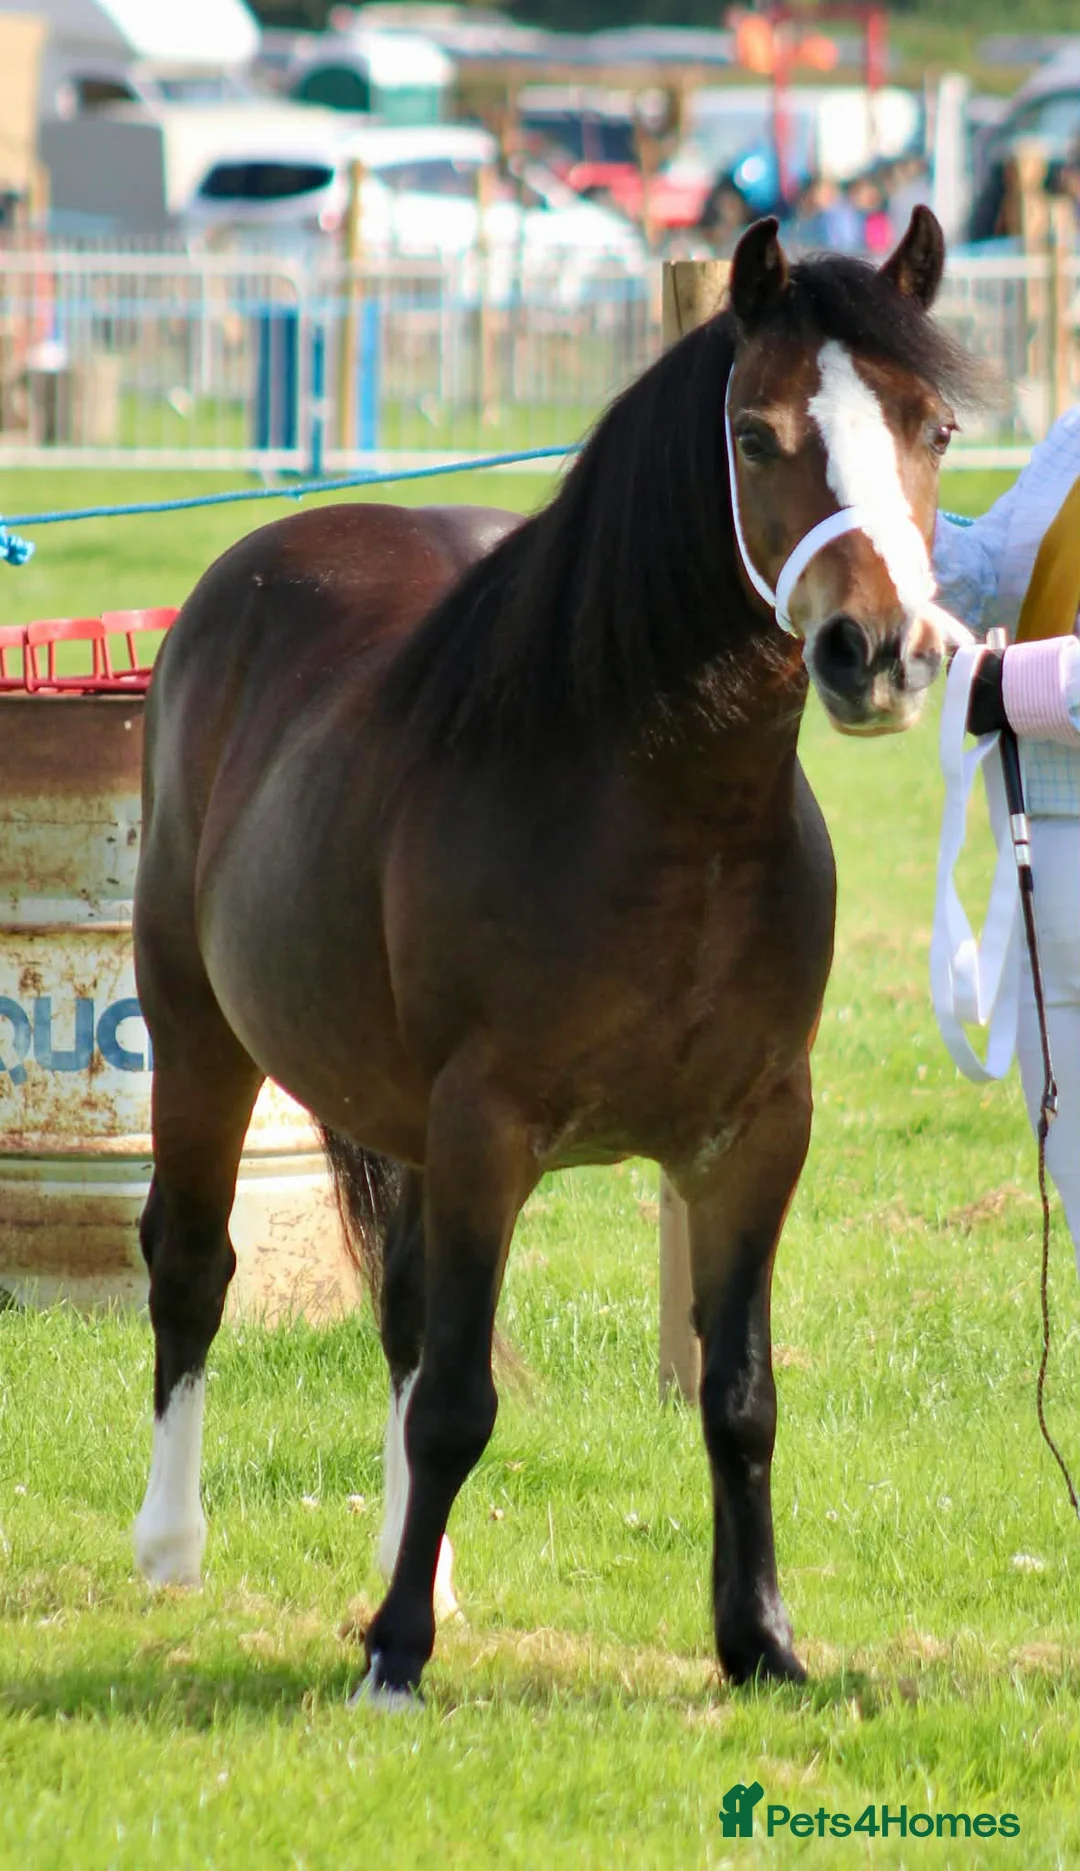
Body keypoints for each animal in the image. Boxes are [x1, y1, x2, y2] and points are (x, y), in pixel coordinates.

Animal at [131, 209, 983, 1703]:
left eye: (932, 427)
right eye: (755, 434)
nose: (877, 652)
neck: (664, 815)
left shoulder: (757, 1135)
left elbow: (737, 1392)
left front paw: (760, 1642)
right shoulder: (488, 1126)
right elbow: (461, 1399)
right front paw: (395, 1660)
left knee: (404, 1314)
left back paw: (416, 1571)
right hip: (200, 1035)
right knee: (193, 1263)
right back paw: (175, 1549)